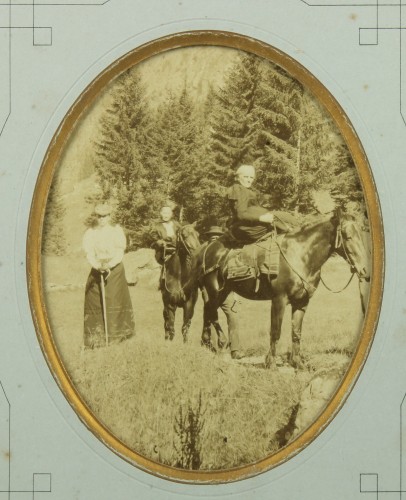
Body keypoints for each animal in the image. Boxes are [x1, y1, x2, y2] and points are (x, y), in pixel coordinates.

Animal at [197, 209, 372, 370]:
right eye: (348, 236)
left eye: (361, 236)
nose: (365, 270)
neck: (300, 256)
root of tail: (209, 247)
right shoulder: (279, 300)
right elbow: (276, 331)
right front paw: (271, 363)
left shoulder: (301, 302)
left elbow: (296, 332)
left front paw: (298, 363)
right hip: (215, 291)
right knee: (211, 313)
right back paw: (219, 344)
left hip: (222, 292)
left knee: (208, 312)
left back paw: (209, 344)